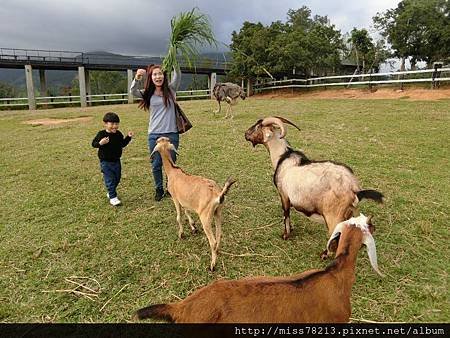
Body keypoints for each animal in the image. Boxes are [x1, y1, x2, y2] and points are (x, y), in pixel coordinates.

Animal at [151, 136, 236, 270]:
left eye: (157, 142)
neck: (173, 171)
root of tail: (218, 195)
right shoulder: (185, 200)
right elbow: (186, 211)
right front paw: (193, 227)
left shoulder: (175, 198)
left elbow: (179, 217)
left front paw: (181, 234)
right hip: (218, 212)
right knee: (219, 235)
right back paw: (217, 252)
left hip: (205, 216)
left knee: (213, 241)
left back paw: (212, 265)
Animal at [244, 117, 382, 258]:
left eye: (257, 126)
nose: (246, 134)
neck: (282, 157)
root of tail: (354, 189)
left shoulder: (284, 195)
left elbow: (286, 214)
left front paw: (286, 235)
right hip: (350, 213)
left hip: (333, 215)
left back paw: (325, 254)